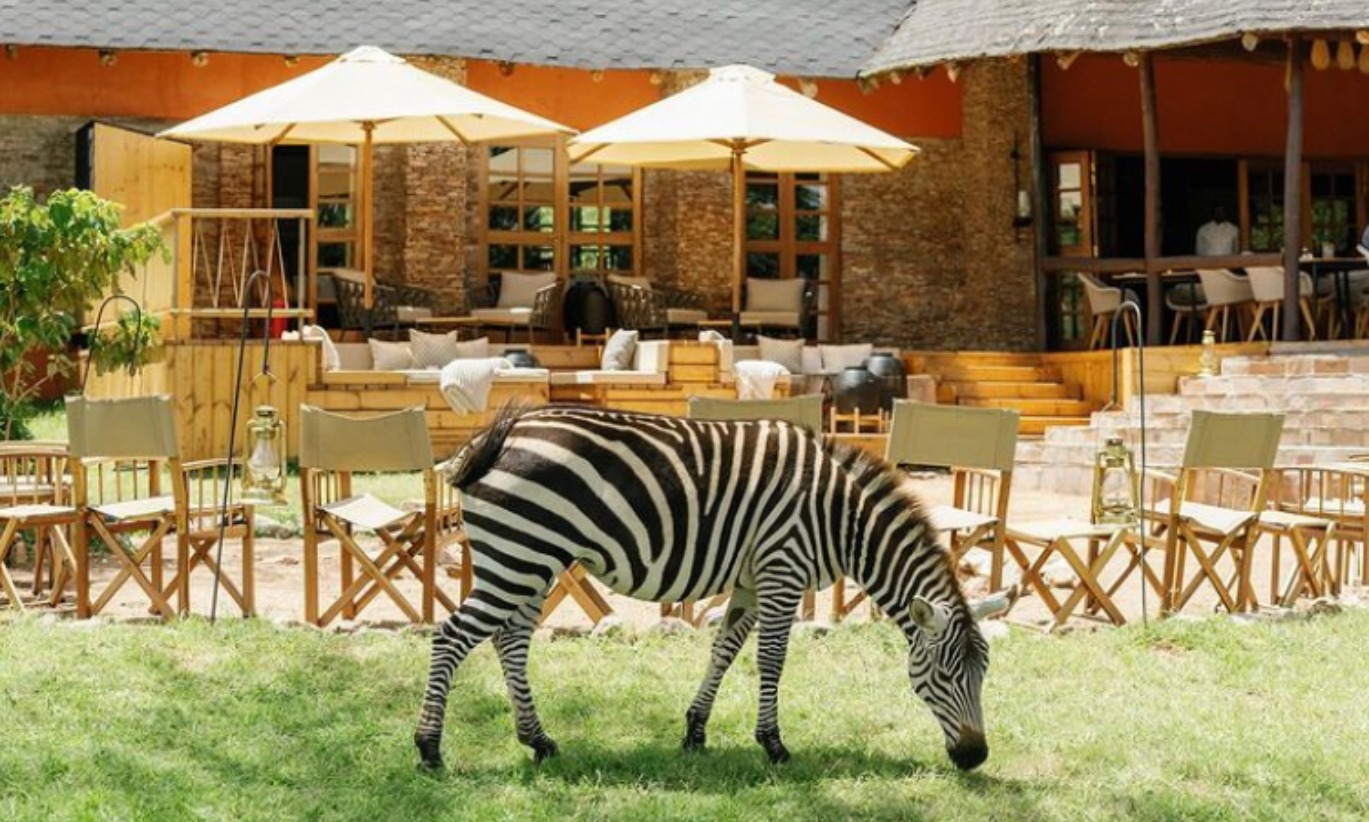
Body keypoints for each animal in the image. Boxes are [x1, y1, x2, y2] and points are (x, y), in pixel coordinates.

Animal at [410, 405, 991, 772]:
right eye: (944, 675)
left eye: (983, 675)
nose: (976, 757)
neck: (841, 517)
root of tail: (504, 432)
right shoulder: (783, 570)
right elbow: (772, 659)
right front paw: (773, 745)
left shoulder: (753, 580)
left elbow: (724, 650)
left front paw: (694, 732)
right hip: (520, 556)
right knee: (452, 636)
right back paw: (429, 749)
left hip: (532, 560)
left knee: (508, 640)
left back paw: (540, 741)